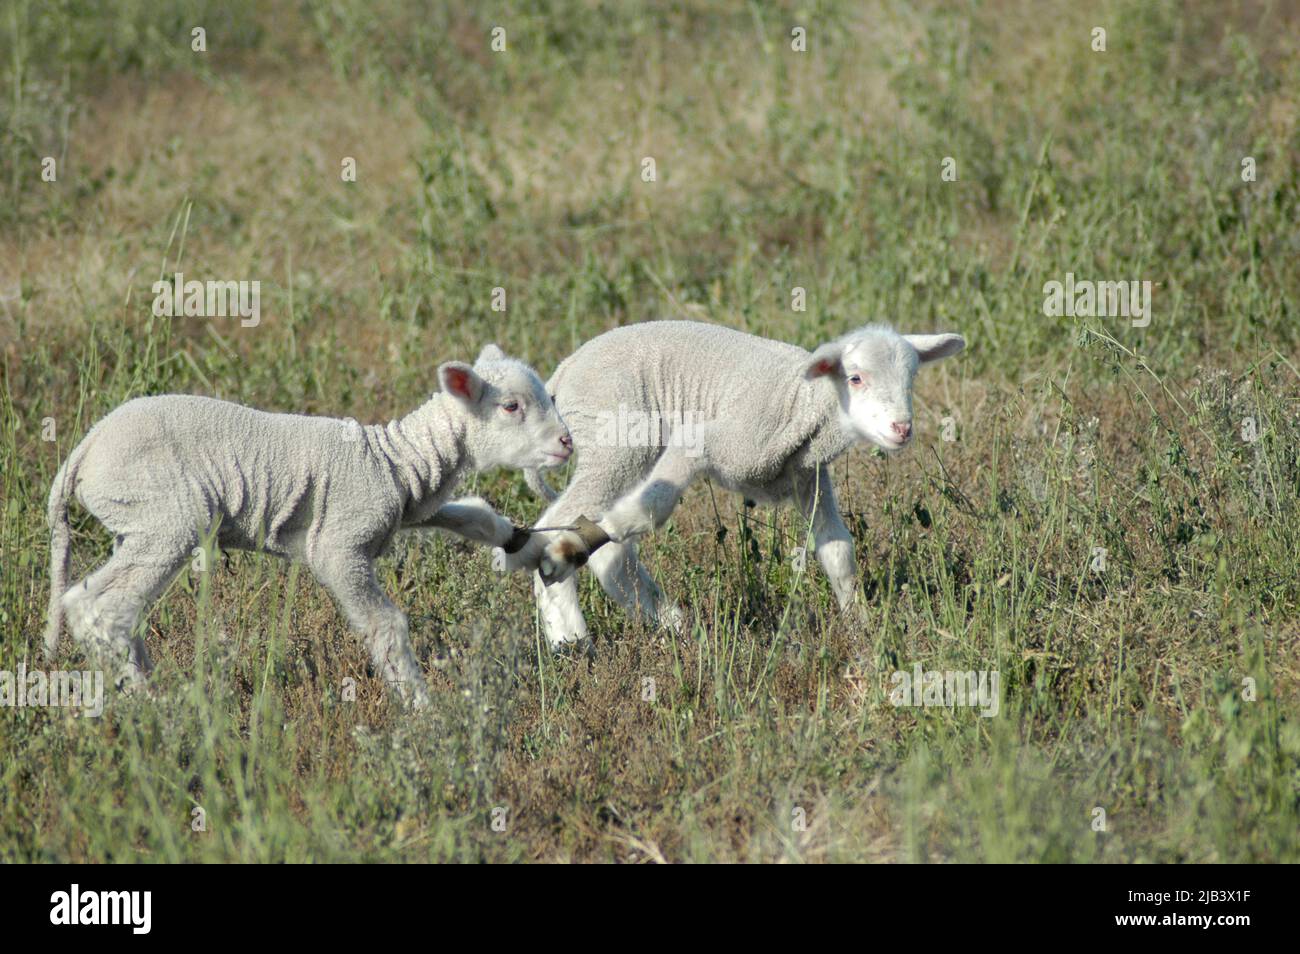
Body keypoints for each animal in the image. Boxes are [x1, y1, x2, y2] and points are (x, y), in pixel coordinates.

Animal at [44, 344, 572, 709]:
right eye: (511, 407)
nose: (567, 443)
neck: (395, 461)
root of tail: (83, 452)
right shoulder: (340, 543)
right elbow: (386, 625)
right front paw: (423, 711)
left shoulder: (410, 507)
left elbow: (473, 514)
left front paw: (524, 545)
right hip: (166, 517)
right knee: (102, 608)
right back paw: (150, 706)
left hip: (136, 523)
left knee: (92, 602)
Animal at [505, 320, 965, 649]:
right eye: (855, 379)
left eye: (911, 380)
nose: (902, 428)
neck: (804, 404)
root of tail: (562, 374)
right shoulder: (709, 440)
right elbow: (651, 507)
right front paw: (567, 551)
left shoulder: (809, 477)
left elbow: (837, 550)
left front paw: (860, 625)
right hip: (616, 441)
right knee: (554, 524)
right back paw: (571, 635)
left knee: (610, 555)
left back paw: (673, 624)